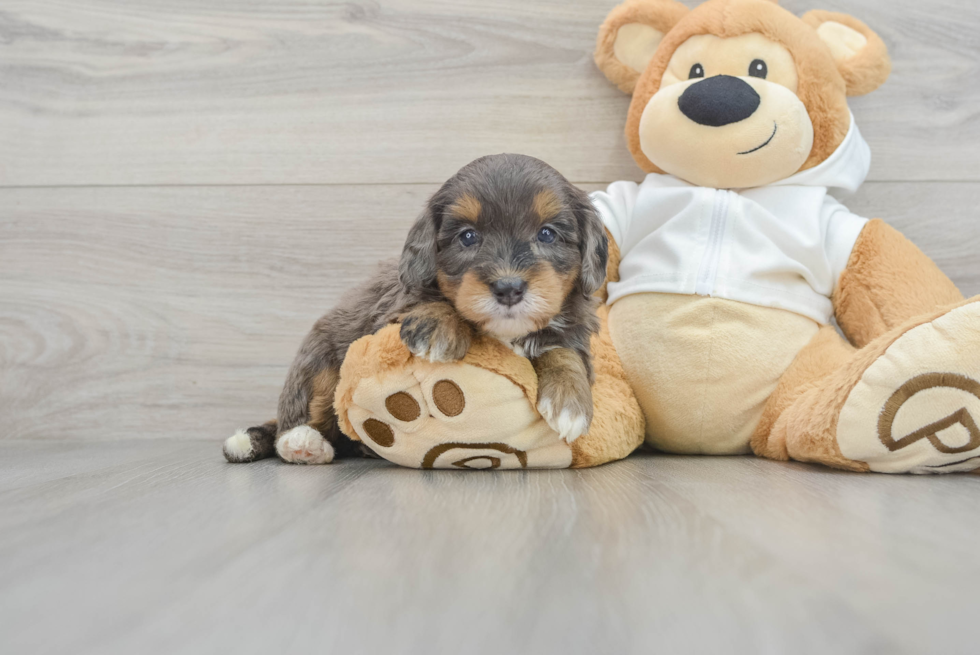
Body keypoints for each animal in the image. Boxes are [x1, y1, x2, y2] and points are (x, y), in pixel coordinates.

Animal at [226, 155, 608, 466]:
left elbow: (564, 352)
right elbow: (428, 300)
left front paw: (569, 401)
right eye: (468, 237)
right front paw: (439, 326)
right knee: (300, 416)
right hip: (319, 359)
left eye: (547, 234)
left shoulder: (574, 328)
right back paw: (302, 442)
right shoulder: (391, 309)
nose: (509, 287)